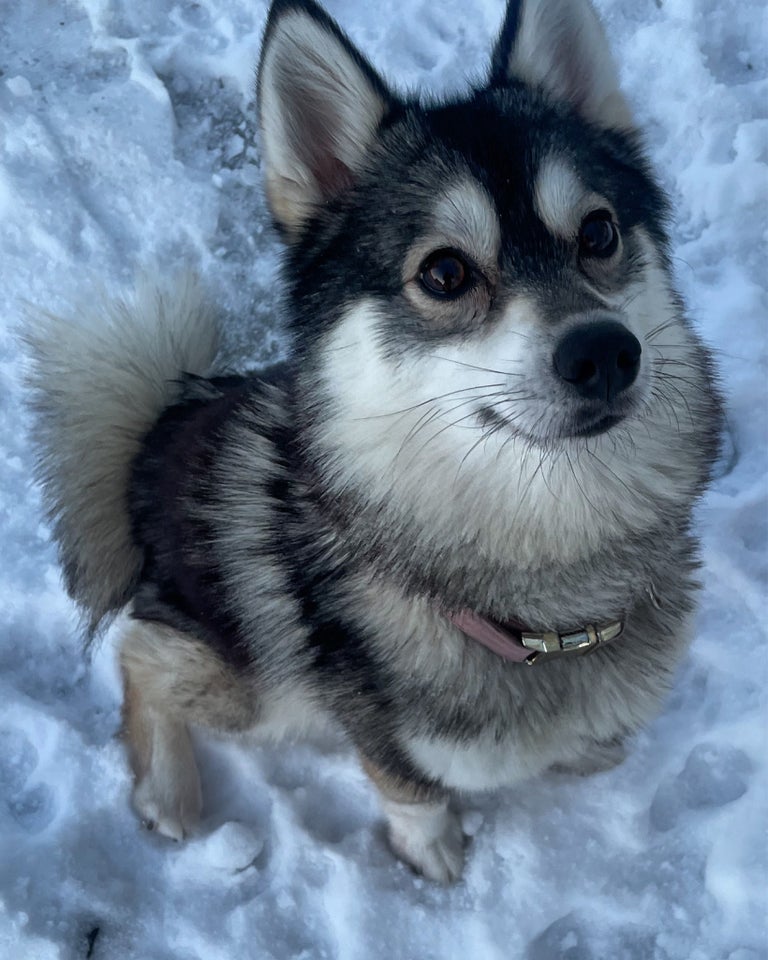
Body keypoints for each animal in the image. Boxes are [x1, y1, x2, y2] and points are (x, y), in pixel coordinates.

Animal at [24, 0, 720, 884]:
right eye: (446, 273)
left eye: (598, 232)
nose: (604, 353)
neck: (544, 591)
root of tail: (160, 428)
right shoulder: (375, 726)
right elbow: (407, 785)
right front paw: (433, 853)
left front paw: (585, 752)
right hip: (256, 681)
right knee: (140, 653)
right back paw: (169, 792)